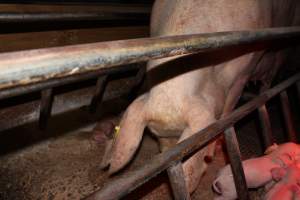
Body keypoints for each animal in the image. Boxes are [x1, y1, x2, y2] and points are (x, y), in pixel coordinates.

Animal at [103, 0, 300, 194]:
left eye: (200, 153)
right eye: (159, 141)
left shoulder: (243, 73)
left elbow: (228, 109)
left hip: (281, 52)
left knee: (270, 78)